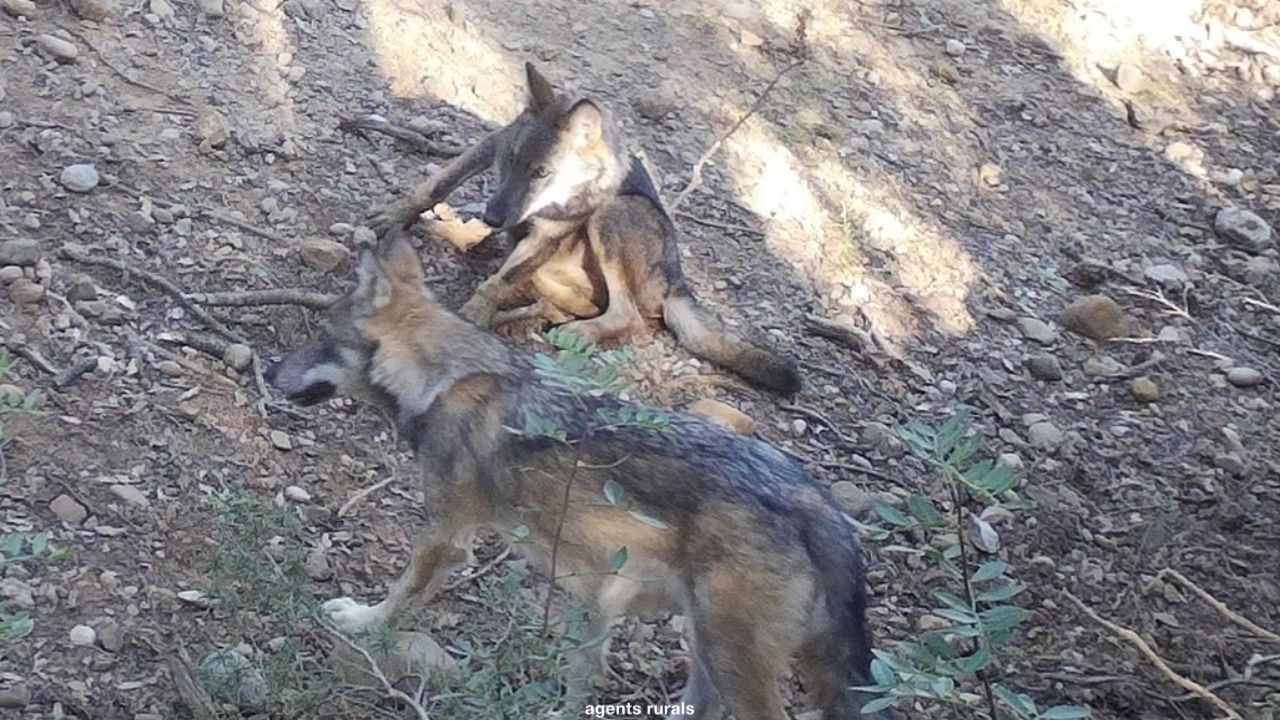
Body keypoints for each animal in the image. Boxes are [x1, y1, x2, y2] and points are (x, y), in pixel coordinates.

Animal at [265, 238, 889, 720]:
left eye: (320, 338)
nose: (269, 372)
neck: (442, 380)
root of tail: (818, 503)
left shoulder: (446, 536)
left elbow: (398, 597)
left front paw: (362, 623)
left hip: (732, 659)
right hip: (705, 645)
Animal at [366, 63, 801, 395]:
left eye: (542, 173)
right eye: (510, 161)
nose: (493, 217)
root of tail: (677, 283)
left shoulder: (549, 233)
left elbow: (496, 283)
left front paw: (474, 315)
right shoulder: (491, 145)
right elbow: (437, 183)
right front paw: (394, 216)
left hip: (613, 214)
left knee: (630, 318)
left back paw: (569, 331)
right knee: (573, 302)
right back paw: (524, 309)